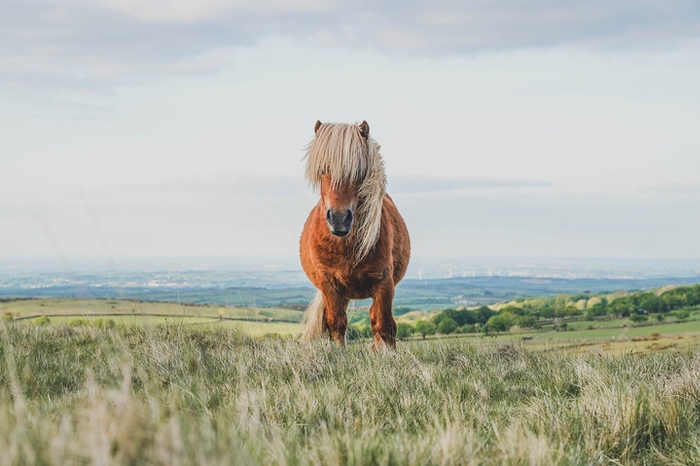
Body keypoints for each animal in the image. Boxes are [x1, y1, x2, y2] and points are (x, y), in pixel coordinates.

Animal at [300, 121, 410, 350]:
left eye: (359, 171)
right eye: (323, 169)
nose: (339, 218)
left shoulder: (384, 283)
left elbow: (384, 325)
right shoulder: (328, 283)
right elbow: (336, 323)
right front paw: (339, 353)